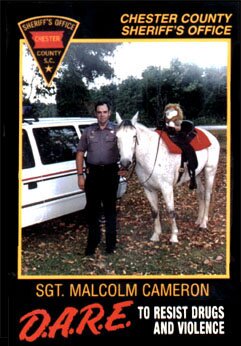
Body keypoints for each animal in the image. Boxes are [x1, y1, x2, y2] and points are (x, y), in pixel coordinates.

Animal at [116, 113, 220, 243]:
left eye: (134, 136)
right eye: (117, 137)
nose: (125, 163)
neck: (150, 155)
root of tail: (211, 136)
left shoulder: (167, 188)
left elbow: (171, 211)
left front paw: (174, 237)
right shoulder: (148, 189)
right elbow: (155, 211)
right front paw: (156, 235)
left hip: (209, 171)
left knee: (207, 196)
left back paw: (204, 223)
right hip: (196, 174)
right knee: (200, 193)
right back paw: (198, 220)